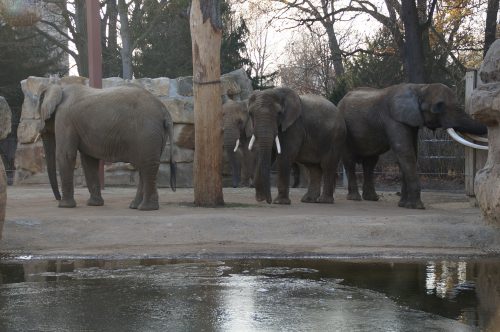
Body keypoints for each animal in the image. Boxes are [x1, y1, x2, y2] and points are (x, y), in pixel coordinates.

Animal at [36, 82, 176, 210]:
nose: (57, 198)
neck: (59, 87)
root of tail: (165, 111)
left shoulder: (65, 118)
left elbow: (66, 155)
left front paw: (64, 206)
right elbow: (89, 161)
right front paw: (94, 204)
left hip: (147, 132)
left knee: (147, 164)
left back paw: (146, 208)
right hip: (154, 134)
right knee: (145, 165)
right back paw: (135, 206)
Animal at [338, 82, 486, 209]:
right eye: (439, 106)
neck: (420, 88)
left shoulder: (411, 121)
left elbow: (412, 153)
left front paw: (404, 205)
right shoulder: (393, 118)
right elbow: (405, 151)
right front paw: (417, 207)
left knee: (370, 162)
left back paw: (372, 198)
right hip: (344, 130)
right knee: (350, 161)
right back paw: (355, 198)